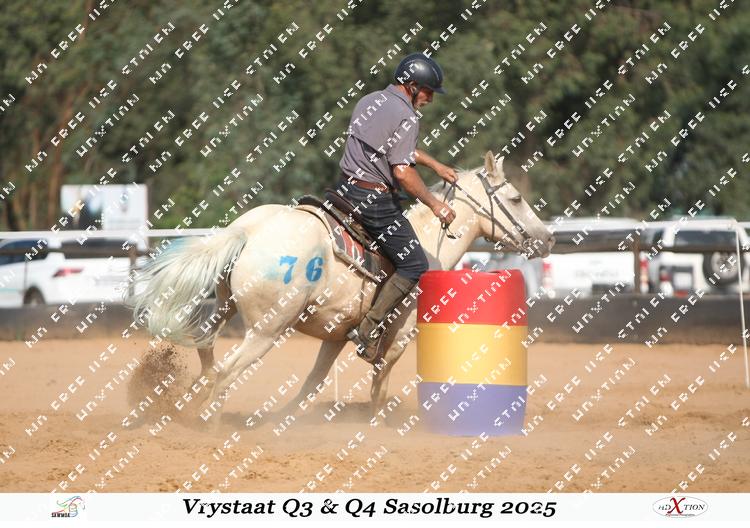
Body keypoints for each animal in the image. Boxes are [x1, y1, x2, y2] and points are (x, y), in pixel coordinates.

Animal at [128, 151, 555, 426]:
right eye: (516, 198)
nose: (548, 238)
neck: (428, 243)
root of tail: (247, 230)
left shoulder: (335, 335)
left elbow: (313, 382)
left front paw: (284, 420)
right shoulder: (399, 337)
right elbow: (379, 384)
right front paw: (378, 423)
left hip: (223, 308)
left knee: (208, 354)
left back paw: (184, 407)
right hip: (267, 329)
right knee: (227, 371)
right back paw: (209, 422)